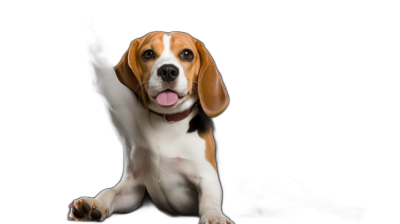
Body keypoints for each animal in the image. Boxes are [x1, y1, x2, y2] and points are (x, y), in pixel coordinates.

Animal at [67, 32, 233, 224]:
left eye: (186, 54)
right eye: (148, 54)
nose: (168, 71)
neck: (168, 121)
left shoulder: (207, 176)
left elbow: (209, 198)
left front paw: (214, 216)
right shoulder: (134, 185)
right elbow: (110, 191)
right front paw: (95, 204)